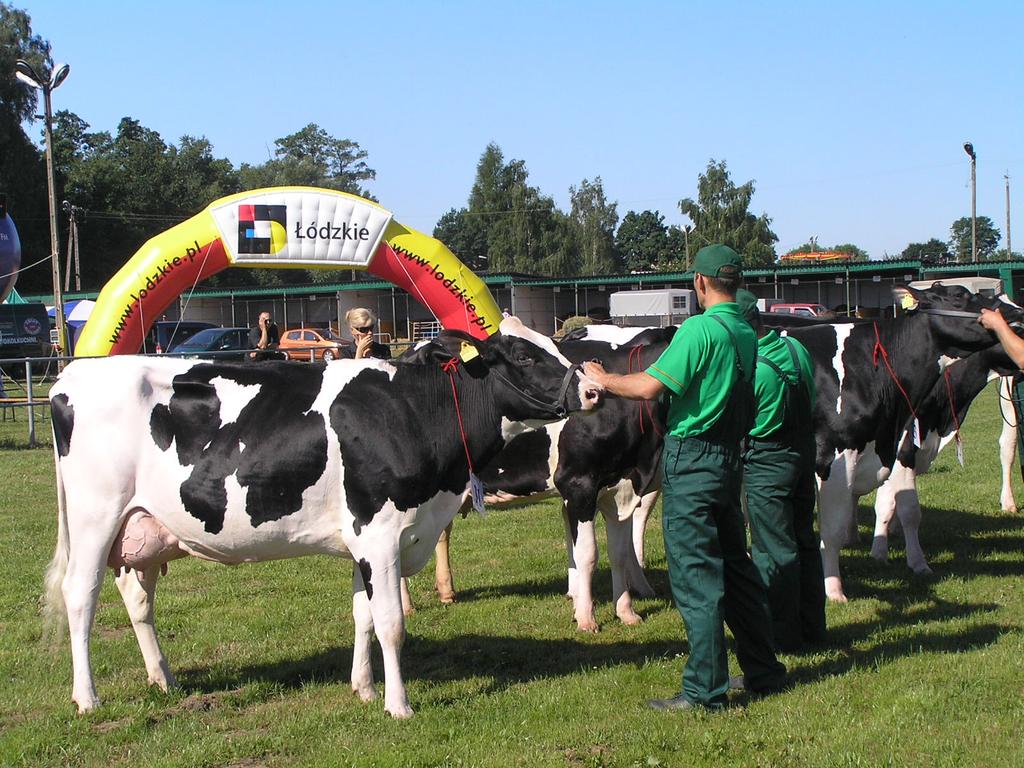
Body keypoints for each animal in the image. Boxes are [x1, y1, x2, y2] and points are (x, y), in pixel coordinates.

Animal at [46, 315, 598, 720]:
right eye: (525, 356)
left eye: (552, 343)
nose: (592, 389)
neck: (416, 410)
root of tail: (74, 374)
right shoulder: (379, 534)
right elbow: (391, 623)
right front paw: (398, 705)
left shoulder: (365, 539)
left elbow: (362, 615)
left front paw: (364, 690)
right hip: (96, 518)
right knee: (81, 596)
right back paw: (87, 698)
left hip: (141, 528)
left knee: (137, 598)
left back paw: (164, 679)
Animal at [415, 325, 671, 630]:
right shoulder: (578, 484)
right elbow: (587, 554)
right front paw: (586, 617)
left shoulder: (619, 486)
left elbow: (619, 552)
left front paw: (626, 612)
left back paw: (445, 591)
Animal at [774, 286, 1024, 606]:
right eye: (959, 295)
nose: (1016, 314)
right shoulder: (839, 454)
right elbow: (840, 528)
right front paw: (836, 589)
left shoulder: (888, 447)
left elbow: (891, 504)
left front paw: (888, 552)